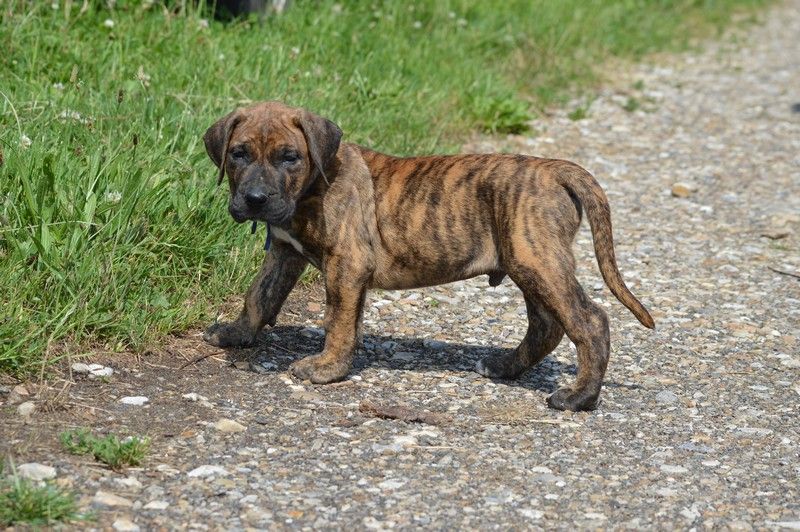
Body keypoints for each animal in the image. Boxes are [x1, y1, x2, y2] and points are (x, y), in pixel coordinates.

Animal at [202, 101, 654, 411]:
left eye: (289, 157)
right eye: (239, 153)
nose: (255, 199)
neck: (314, 185)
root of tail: (556, 168)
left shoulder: (347, 264)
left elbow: (338, 321)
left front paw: (327, 368)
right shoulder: (284, 253)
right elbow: (259, 295)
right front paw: (237, 333)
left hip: (536, 259)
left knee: (589, 322)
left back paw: (579, 397)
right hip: (528, 262)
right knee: (547, 325)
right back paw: (504, 368)